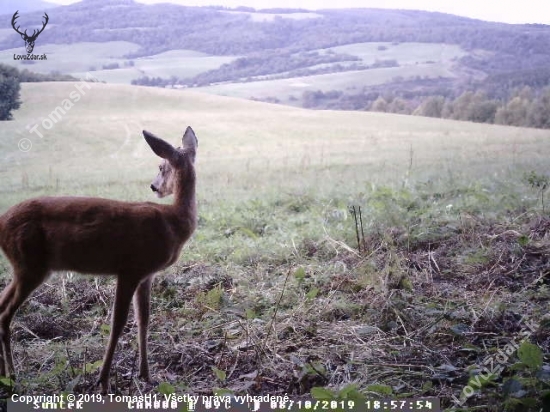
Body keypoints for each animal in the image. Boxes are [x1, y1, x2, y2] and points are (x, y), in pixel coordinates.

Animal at [0, 125, 199, 392]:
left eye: (160, 167)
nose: (153, 187)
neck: (173, 221)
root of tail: (1, 224)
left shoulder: (146, 274)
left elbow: (144, 320)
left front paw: (146, 375)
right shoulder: (130, 268)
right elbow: (118, 323)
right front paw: (103, 381)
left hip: (23, 267)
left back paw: (4, 374)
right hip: (30, 265)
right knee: (5, 314)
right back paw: (12, 376)